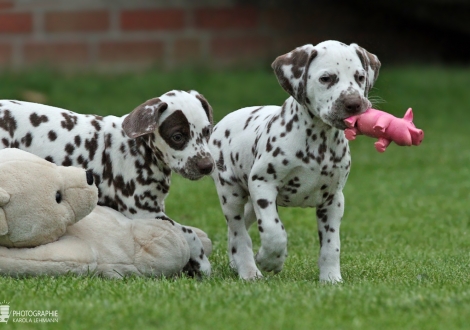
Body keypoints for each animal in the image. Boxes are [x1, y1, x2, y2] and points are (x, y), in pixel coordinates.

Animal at [0, 90, 216, 276]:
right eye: (177, 137)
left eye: (207, 132)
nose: (207, 166)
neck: (138, 147)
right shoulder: (144, 212)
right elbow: (188, 233)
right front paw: (202, 264)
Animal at [211, 39, 380, 282]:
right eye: (326, 78)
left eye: (360, 77)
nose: (354, 103)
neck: (318, 143)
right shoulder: (263, 184)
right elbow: (274, 230)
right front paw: (269, 259)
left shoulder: (334, 199)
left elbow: (332, 245)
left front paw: (331, 278)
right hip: (231, 194)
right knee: (239, 232)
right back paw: (249, 270)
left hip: (250, 203)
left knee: (239, 230)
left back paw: (237, 263)